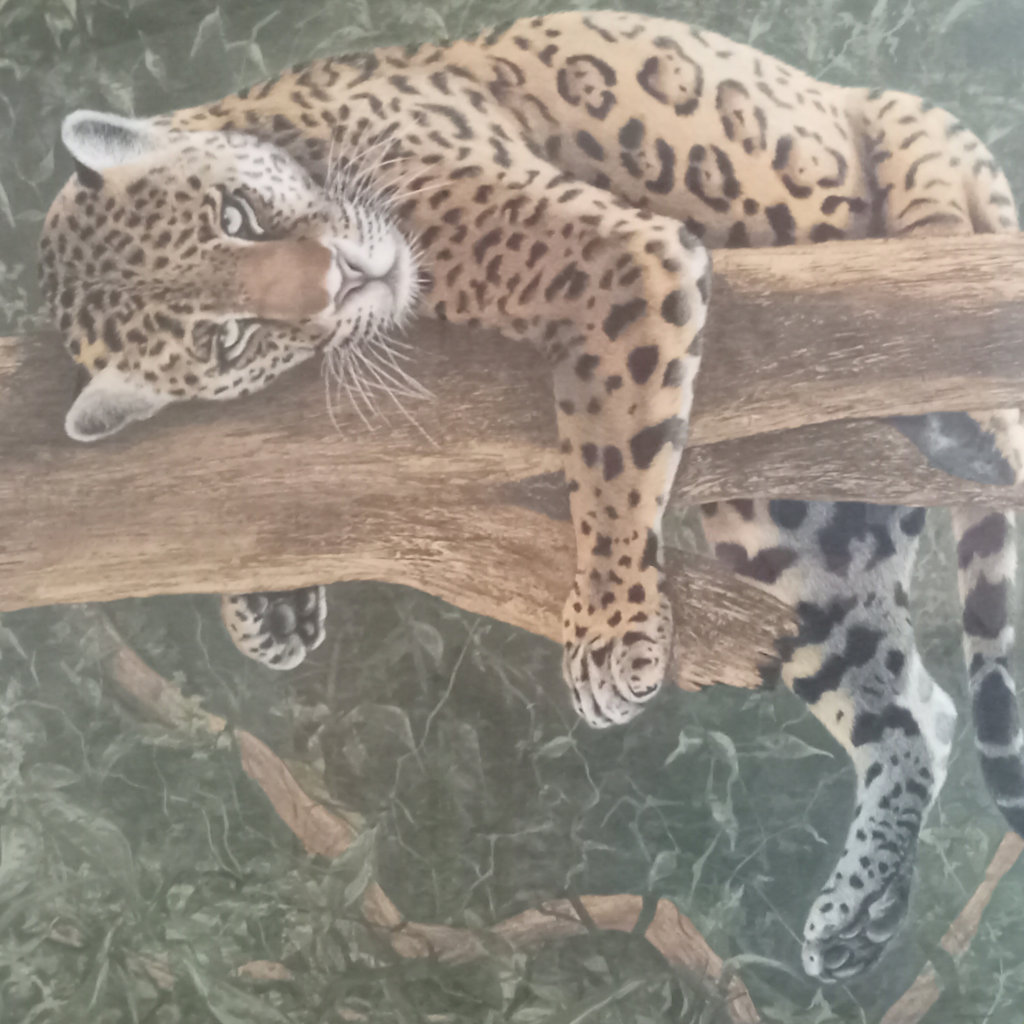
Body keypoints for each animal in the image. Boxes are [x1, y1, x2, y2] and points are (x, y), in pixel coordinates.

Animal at [37, 9, 1024, 983]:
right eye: (230, 340)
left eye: (235, 217)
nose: (343, 279)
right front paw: (268, 610)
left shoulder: (617, 259)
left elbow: (611, 444)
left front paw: (615, 626)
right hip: (794, 538)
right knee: (915, 709)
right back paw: (859, 911)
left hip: (922, 159)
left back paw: (964, 418)